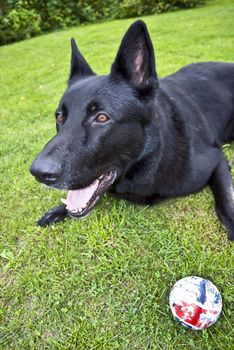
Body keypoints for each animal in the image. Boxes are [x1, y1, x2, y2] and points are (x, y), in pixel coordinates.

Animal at [30, 20, 234, 239]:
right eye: (60, 117)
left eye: (101, 117)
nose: (38, 173)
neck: (149, 156)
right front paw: (57, 210)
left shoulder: (216, 159)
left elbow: (224, 197)